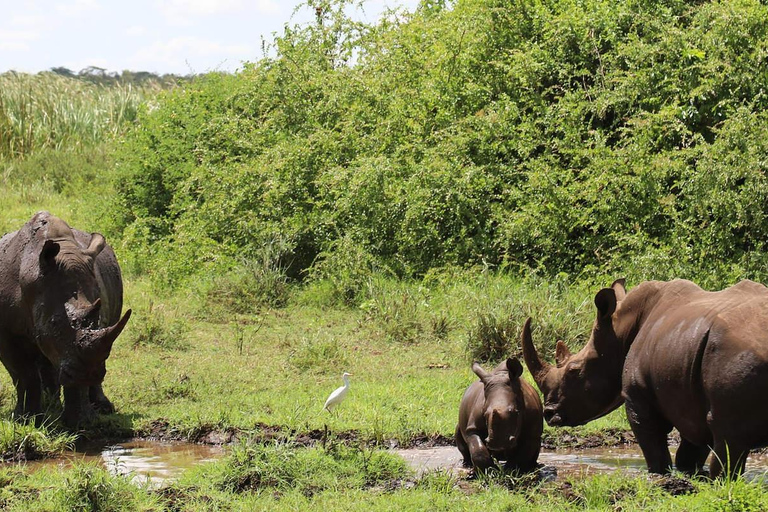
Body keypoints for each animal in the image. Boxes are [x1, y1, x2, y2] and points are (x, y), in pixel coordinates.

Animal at [0, 212, 131, 427]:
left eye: (98, 321)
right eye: (53, 323)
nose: (89, 373)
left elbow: (76, 374)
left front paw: (79, 423)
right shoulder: (6, 333)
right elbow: (23, 373)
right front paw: (26, 420)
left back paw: (100, 407)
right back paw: (49, 405)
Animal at [522, 278, 768, 478]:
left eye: (574, 370)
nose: (549, 413)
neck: (620, 330)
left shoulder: (637, 395)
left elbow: (654, 446)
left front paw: (661, 476)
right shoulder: (689, 397)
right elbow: (690, 450)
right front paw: (691, 476)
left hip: (733, 354)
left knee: (728, 437)